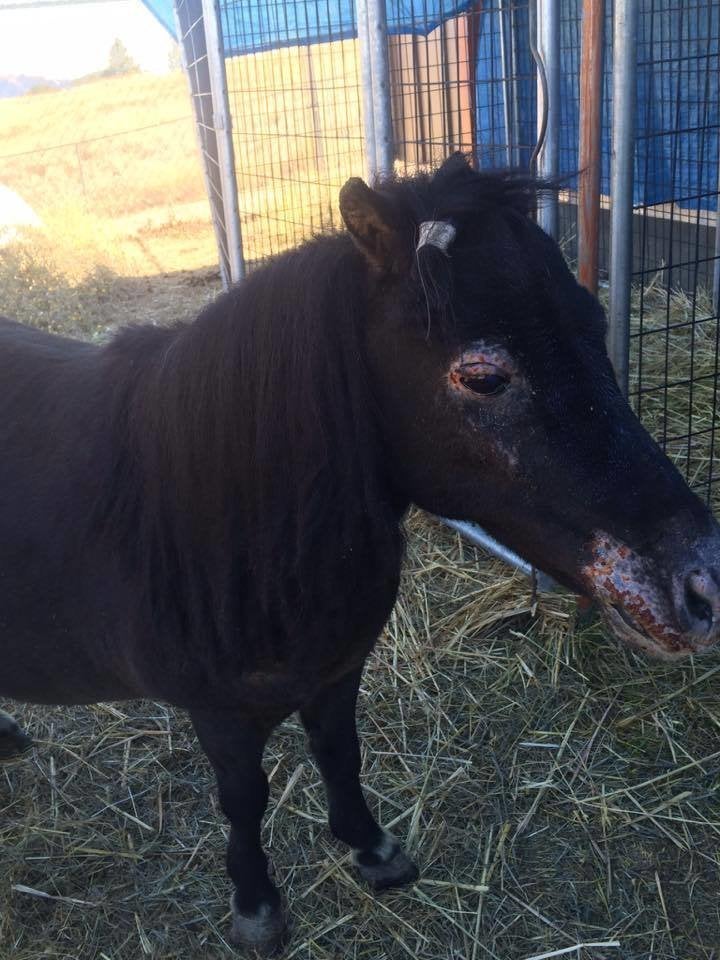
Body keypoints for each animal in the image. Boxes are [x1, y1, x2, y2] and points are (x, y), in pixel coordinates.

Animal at [4, 154, 720, 948]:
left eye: (595, 326)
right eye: (483, 376)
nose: (702, 586)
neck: (219, 521)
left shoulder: (338, 671)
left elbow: (339, 756)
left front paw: (372, 849)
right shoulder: (217, 713)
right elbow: (244, 797)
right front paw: (257, 906)